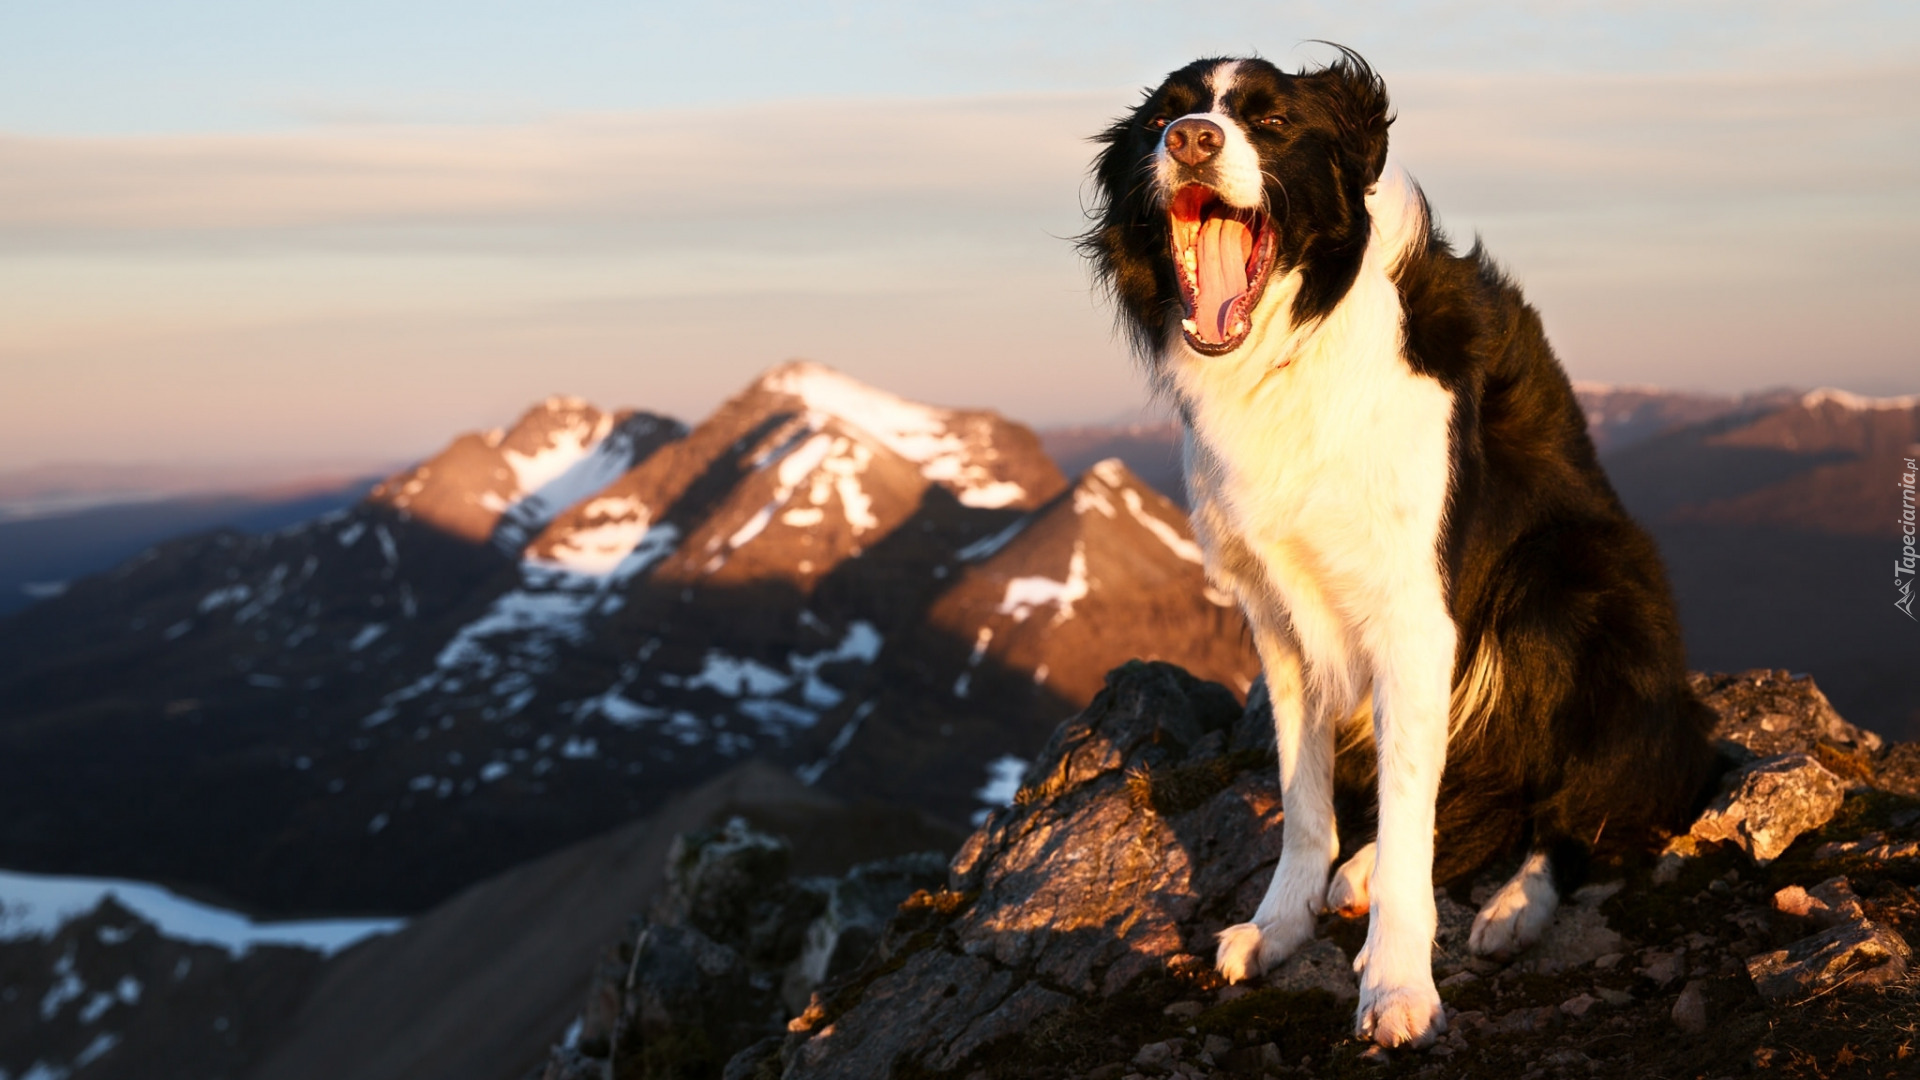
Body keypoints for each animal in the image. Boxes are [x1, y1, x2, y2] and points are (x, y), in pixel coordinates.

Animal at [1082, 48, 1728, 1045]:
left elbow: (1413, 812)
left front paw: (1396, 984)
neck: (1294, 347)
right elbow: (1304, 800)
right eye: (1162, 119)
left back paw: (1513, 907)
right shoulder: (1280, 620)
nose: (1191, 142)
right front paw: (1281, 923)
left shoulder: (1417, 614)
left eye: (1269, 122)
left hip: (1569, 585)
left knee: (1572, 809)